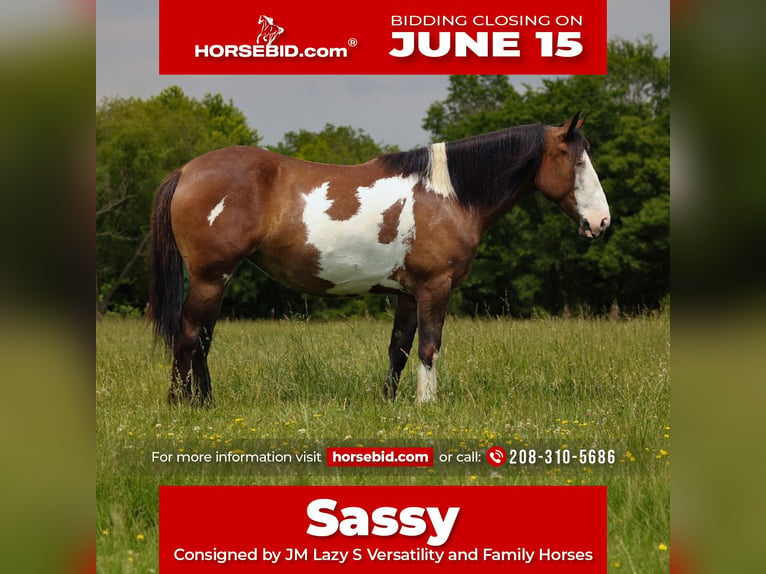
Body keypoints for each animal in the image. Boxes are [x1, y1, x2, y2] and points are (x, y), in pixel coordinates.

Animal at [149, 112, 610, 407]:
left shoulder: (407, 292)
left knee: (201, 339)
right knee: (189, 335)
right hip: (211, 277)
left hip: (217, 279)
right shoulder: (434, 287)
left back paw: (199, 402)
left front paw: (389, 403)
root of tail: (186, 171)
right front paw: (427, 405)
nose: (601, 222)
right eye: (575, 160)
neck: (448, 195)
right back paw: (184, 404)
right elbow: (429, 346)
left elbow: (399, 349)